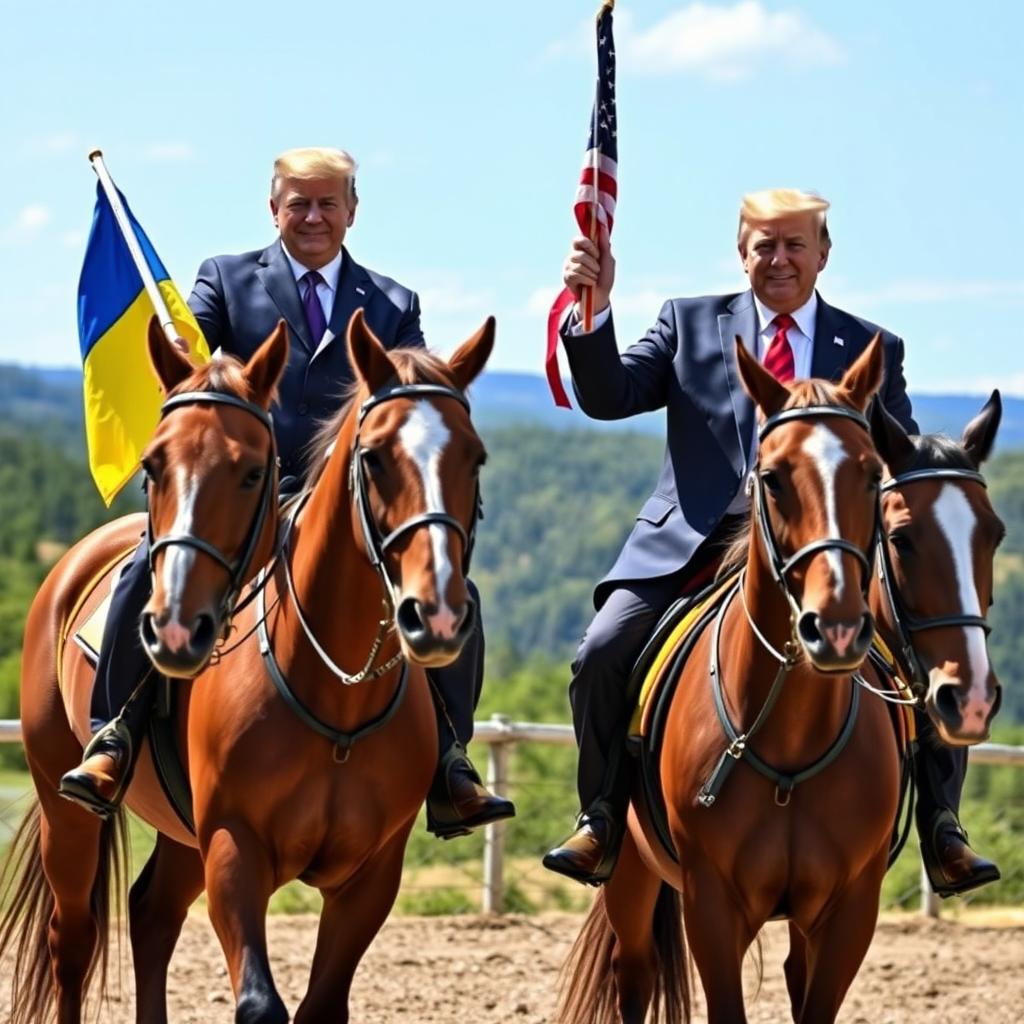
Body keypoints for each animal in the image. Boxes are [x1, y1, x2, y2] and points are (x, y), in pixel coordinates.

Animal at [1, 311, 495, 1024]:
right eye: (373, 457)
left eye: (473, 458)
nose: (436, 615)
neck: (334, 694)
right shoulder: (234, 849)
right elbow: (260, 1003)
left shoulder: (372, 876)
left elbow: (322, 1004)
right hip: (64, 805)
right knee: (73, 940)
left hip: (183, 837)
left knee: (151, 917)